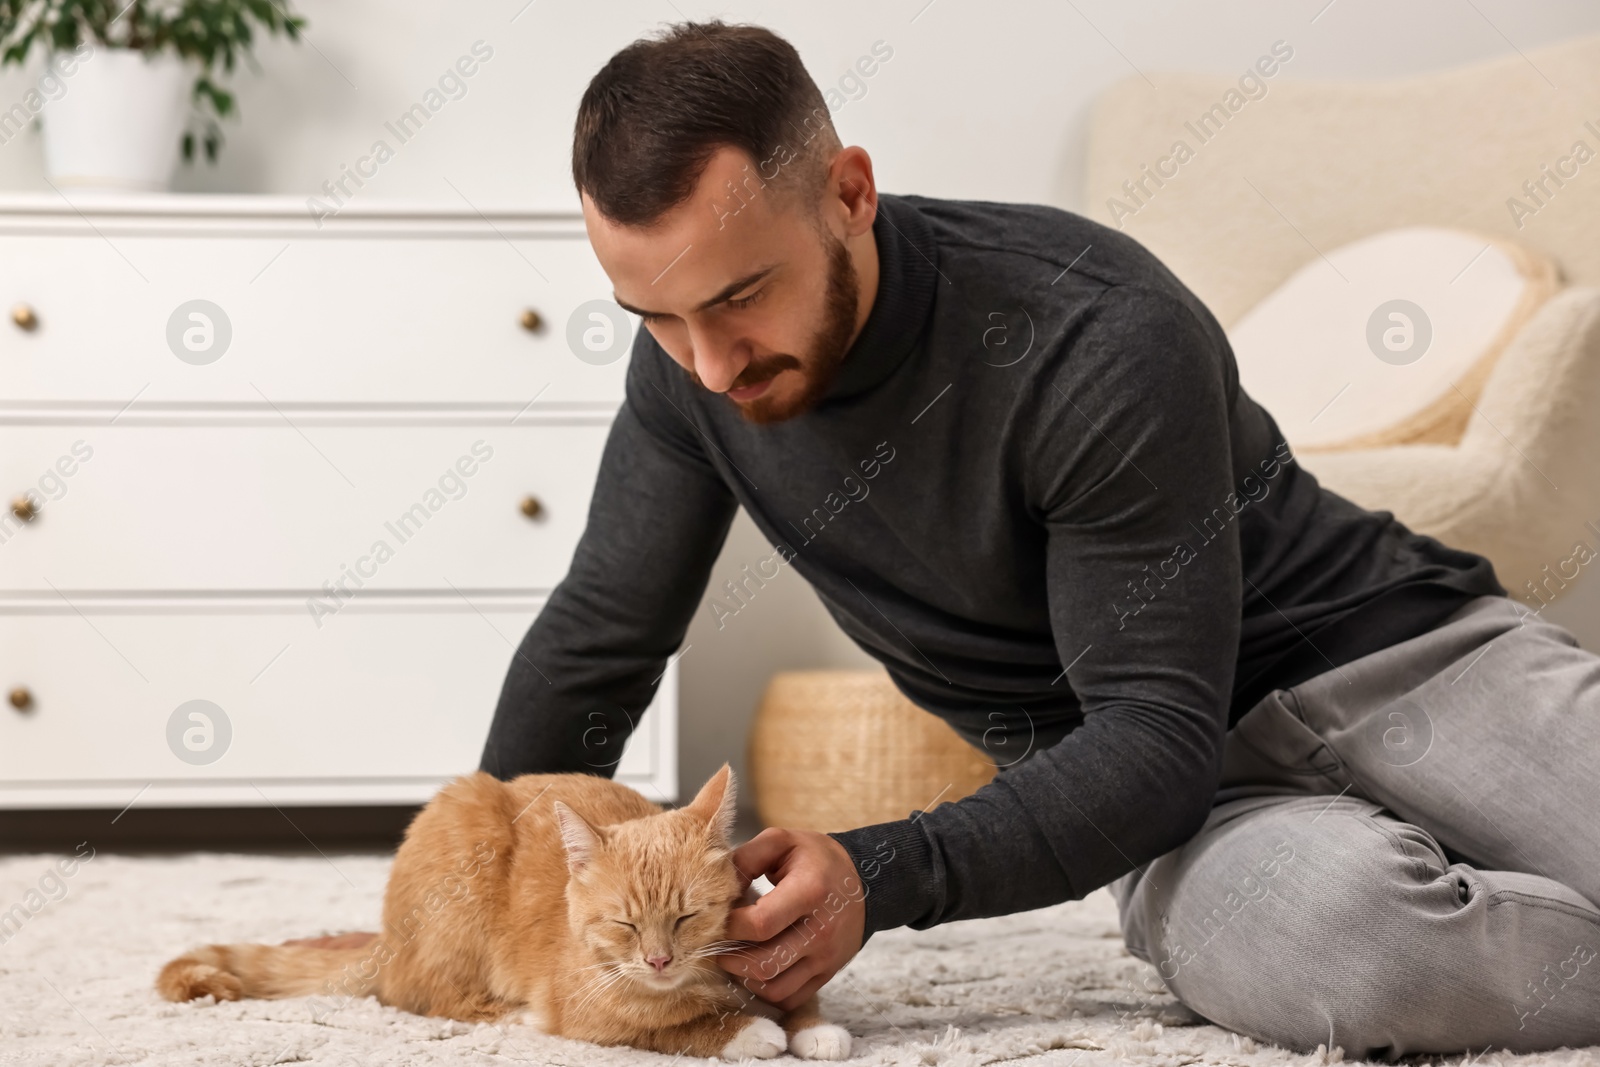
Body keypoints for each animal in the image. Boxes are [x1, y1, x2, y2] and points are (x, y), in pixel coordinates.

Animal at [154, 767, 851, 1062]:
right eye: (624, 923)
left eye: (687, 917)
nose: (658, 960)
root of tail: (386, 937)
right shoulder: (588, 1015)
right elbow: (671, 1027)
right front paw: (747, 1031)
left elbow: (802, 997)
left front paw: (814, 1026)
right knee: (429, 995)